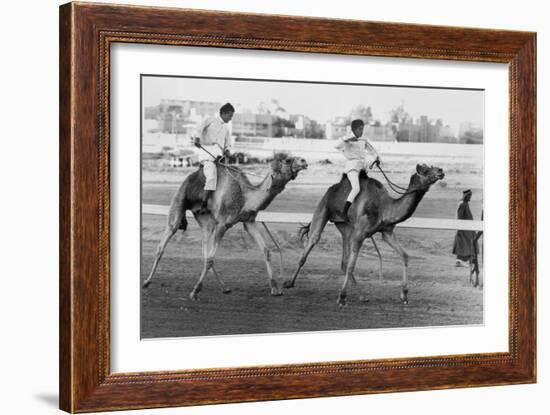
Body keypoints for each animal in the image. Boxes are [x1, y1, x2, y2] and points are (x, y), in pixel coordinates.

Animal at [142, 154, 308, 300]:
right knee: (164, 242)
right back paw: (146, 282)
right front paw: (194, 292)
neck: (245, 197)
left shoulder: (249, 221)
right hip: (179, 202)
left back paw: (225, 287)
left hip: (205, 218)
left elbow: (266, 251)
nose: (304, 161)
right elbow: (211, 259)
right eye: (287, 160)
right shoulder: (222, 224)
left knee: (205, 250)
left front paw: (275, 288)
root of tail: (190, 176)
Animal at [282, 164, 446, 308]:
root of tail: (332, 188)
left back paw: (363, 296)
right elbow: (352, 265)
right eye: (425, 170)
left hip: (345, 227)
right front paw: (341, 298)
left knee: (343, 260)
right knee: (311, 244)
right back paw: (289, 283)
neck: (383, 207)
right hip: (324, 208)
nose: (441, 170)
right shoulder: (360, 234)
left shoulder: (387, 232)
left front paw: (404, 296)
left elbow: (404, 255)